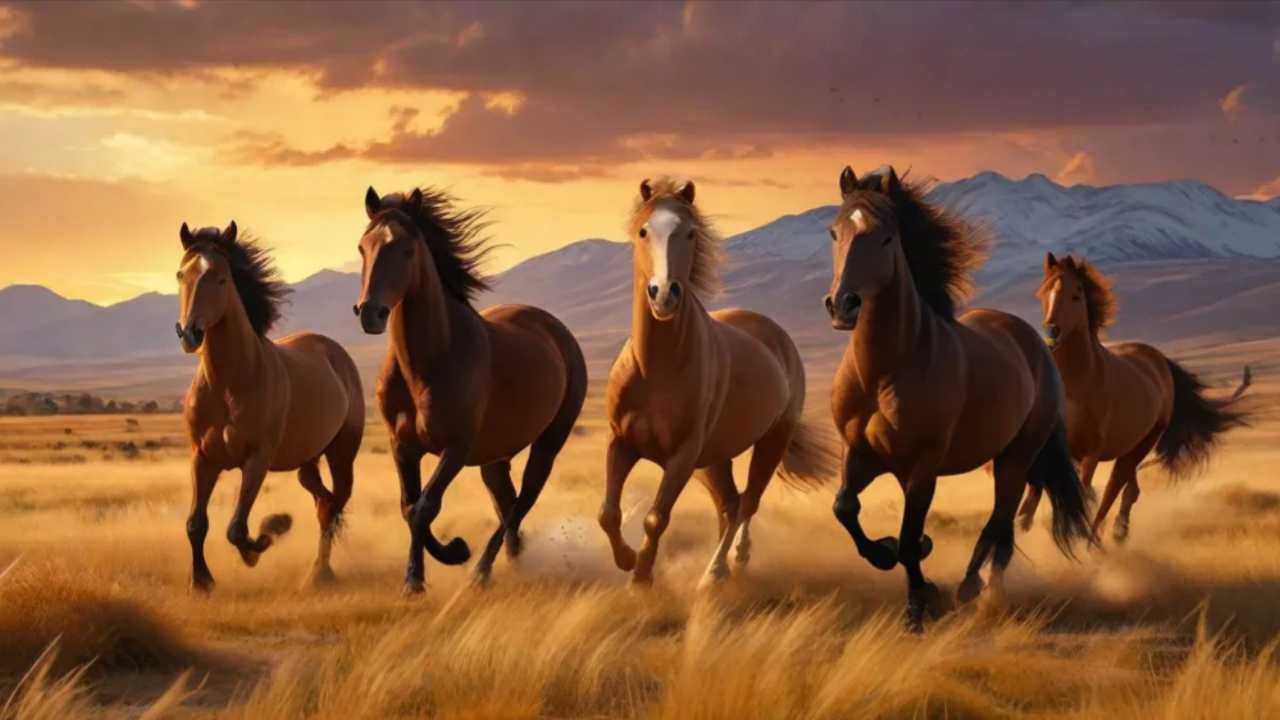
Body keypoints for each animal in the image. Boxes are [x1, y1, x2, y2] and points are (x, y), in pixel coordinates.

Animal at [176, 221, 364, 592]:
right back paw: (316, 572)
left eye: (221, 278)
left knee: (335, 505)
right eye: (180, 274)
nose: (190, 334)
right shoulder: (202, 458)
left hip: (341, 454)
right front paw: (201, 581)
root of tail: (337, 353)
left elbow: (236, 529)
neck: (230, 383)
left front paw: (265, 538)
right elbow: (196, 523)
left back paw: (320, 573)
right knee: (324, 503)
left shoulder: (257, 459)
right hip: (307, 461)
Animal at [354, 186, 587, 594]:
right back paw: (512, 559)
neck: (429, 361)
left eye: (407, 249)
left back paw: (482, 570)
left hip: (548, 443)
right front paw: (417, 576)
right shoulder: (403, 447)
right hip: (494, 457)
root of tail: (559, 333)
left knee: (521, 502)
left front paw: (446, 558)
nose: (370, 313)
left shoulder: (456, 448)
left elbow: (425, 507)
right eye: (362, 247)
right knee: (506, 502)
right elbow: (409, 507)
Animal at [599, 178, 838, 589]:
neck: (655, 369)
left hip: (769, 442)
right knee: (727, 503)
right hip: (714, 458)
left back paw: (718, 570)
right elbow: (607, 513)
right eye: (643, 231)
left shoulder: (682, 457)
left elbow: (656, 517)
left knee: (747, 502)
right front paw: (627, 559)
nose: (664, 294)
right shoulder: (623, 443)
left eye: (690, 233)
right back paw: (724, 565)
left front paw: (642, 576)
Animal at [823, 165, 1095, 630]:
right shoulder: (860, 454)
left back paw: (974, 588)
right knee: (1003, 531)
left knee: (999, 522)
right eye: (834, 232)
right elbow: (846, 509)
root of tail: (1035, 342)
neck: (886, 369)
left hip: (1016, 456)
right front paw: (888, 553)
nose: (843, 306)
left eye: (886, 238)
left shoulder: (923, 467)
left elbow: (910, 538)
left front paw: (920, 604)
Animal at [1017, 254, 1251, 542]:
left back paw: (1102, 537)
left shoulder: (1090, 455)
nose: (1052, 332)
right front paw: (1021, 531)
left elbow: (1084, 493)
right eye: (1042, 293)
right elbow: (1034, 496)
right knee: (1129, 487)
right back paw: (1117, 530)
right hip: (1128, 447)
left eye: (1076, 295)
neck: (1078, 383)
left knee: (1114, 490)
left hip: (1142, 445)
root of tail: (1160, 361)